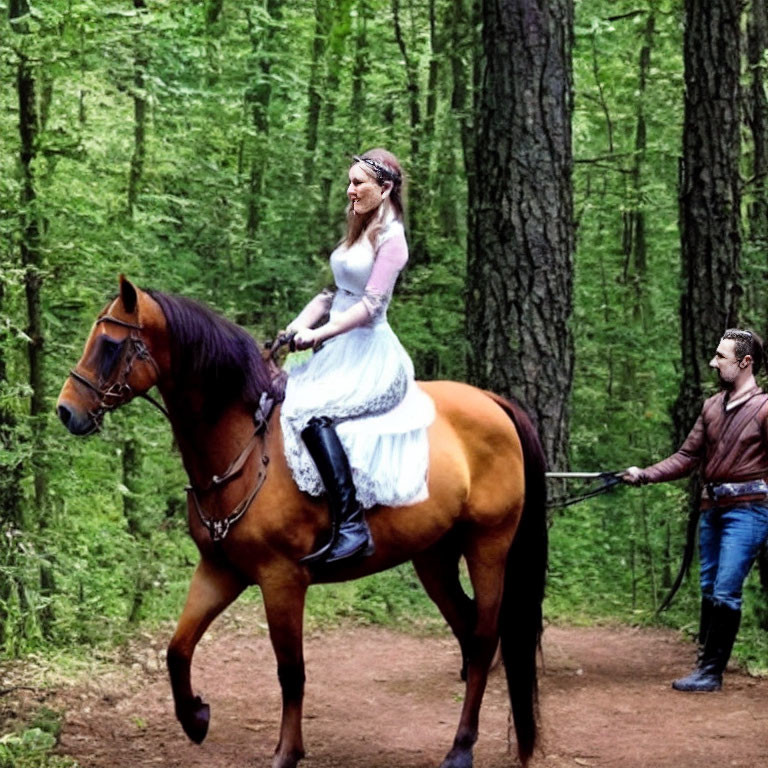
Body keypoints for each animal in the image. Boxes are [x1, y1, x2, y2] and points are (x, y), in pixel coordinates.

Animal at [55, 278, 544, 768]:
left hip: (487, 545)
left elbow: (291, 670)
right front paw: (196, 719)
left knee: (484, 637)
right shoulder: (220, 570)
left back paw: (460, 749)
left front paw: (286, 752)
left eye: (110, 344)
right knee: (468, 631)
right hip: (435, 556)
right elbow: (177, 649)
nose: (65, 412)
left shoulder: (282, 579)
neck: (246, 448)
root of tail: (492, 402)